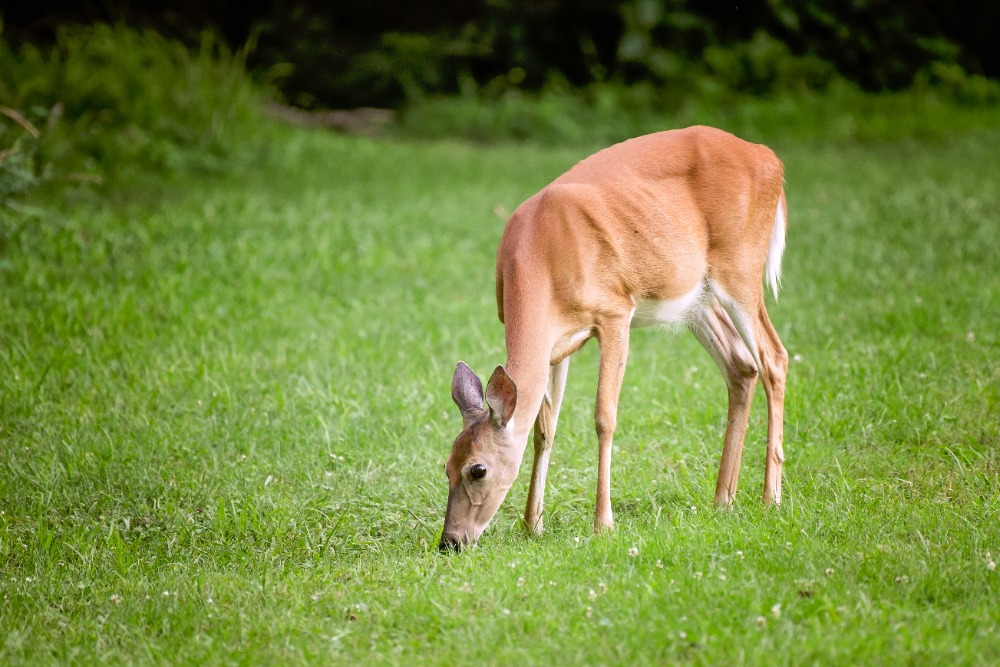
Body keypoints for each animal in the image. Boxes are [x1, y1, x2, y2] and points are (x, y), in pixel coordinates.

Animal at [438, 125, 788, 552]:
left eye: (478, 469)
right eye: (446, 466)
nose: (450, 541)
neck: (542, 259)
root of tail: (770, 157)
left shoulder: (615, 311)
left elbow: (604, 416)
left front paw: (603, 523)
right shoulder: (558, 343)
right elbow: (544, 427)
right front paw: (532, 524)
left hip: (740, 267)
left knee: (774, 357)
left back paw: (771, 498)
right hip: (697, 297)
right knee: (742, 365)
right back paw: (724, 498)